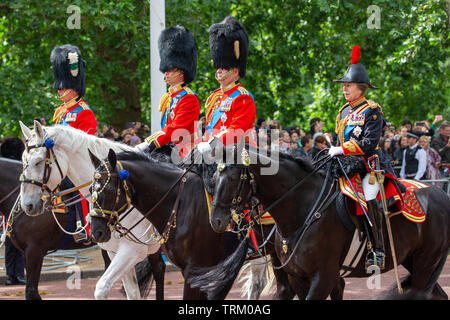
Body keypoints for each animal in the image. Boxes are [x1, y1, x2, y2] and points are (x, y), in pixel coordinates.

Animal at [19, 121, 161, 302]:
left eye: (38, 162)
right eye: (23, 160)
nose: (27, 205)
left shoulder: (133, 250)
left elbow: (101, 288)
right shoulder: (114, 251)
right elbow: (132, 293)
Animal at [191, 146, 450, 300]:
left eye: (233, 177)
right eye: (214, 176)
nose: (216, 221)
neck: (303, 208)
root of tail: (441, 195)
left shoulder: (323, 277)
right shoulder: (298, 277)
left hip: (426, 264)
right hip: (414, 262)